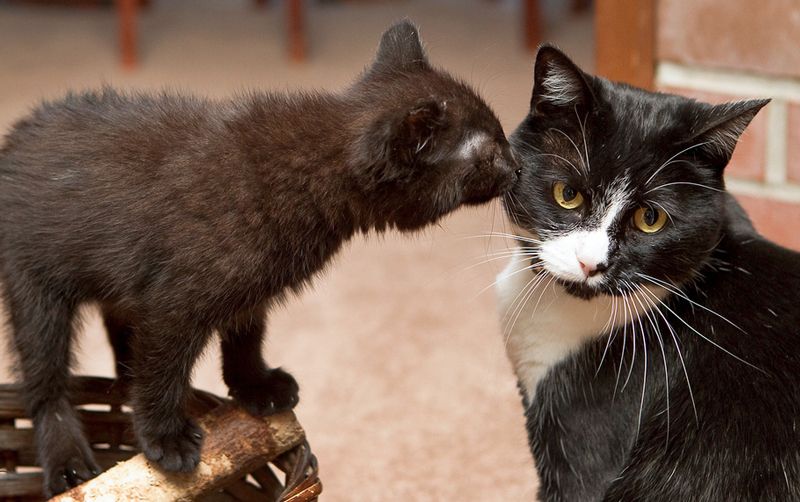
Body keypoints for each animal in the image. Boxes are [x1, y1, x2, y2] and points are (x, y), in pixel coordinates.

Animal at [0, 20, 520, 498]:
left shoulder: (248, 291)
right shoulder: (175, 305)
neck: (310, 174)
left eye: (502, 137)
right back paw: (68, 460)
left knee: (123, 339)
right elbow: (163, 368)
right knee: (46, 383)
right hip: (34, 288)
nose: (516, 167)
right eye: (491, 151)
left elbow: (245, 336)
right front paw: (165, 438)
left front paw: (254, 387)